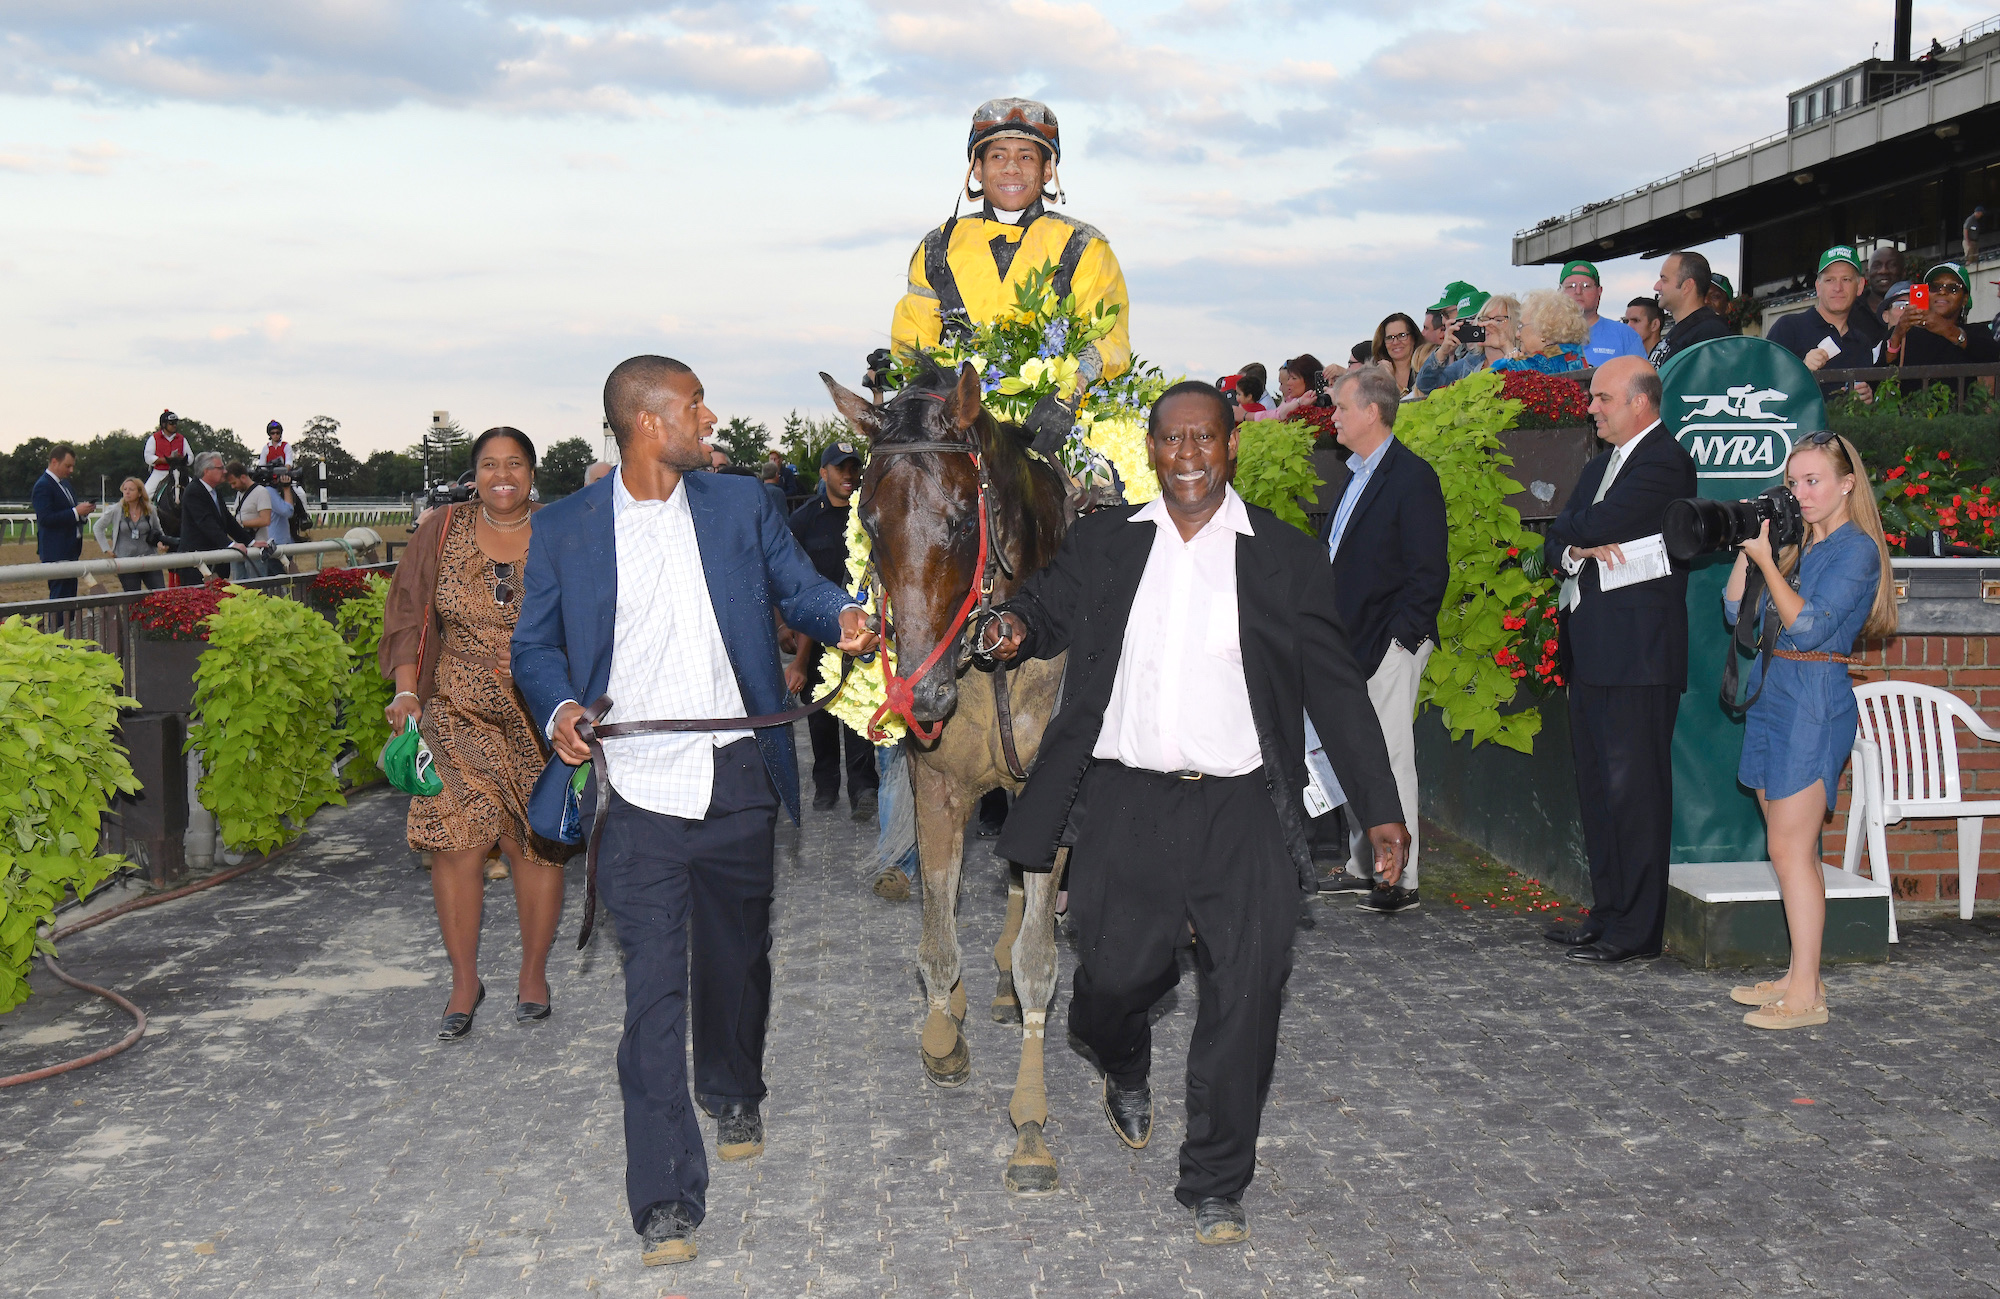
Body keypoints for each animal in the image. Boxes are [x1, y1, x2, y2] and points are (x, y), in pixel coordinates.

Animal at [820, 359, 1080, 1191]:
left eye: (965, 519)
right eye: (869, 521)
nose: (921, 695)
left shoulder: (1052, 794)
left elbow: (1038, 957)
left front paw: (1030, 1125)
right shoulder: (938, 784)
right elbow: (937, 934)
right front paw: (944, 1030)